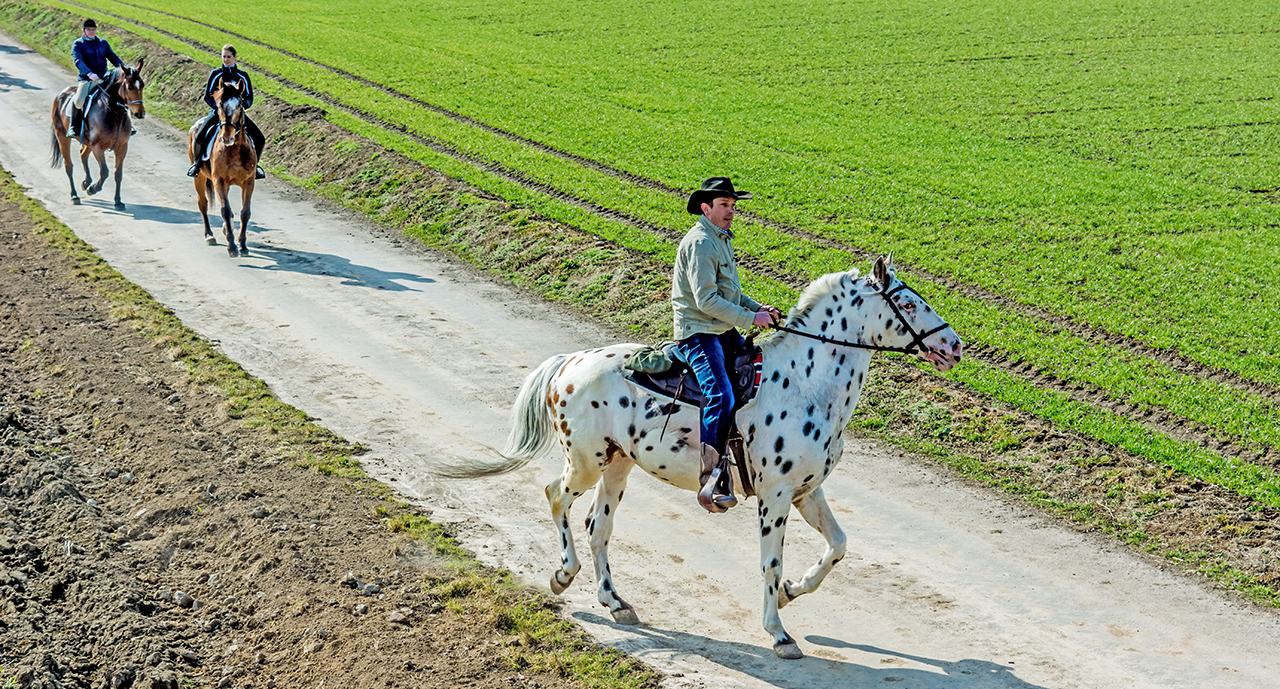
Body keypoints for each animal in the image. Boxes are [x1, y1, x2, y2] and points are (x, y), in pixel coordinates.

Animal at [50, 60, 147, 207]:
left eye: (142, 85)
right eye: (129, 87)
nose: (139, 113)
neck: (114, 112)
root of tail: (61, 94)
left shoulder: (122, 147)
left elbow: (118, 174)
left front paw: (118, 201)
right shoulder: (98, 148)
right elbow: (104, 172)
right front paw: (93, 189)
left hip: (87, 142)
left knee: (83, 154)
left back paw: (86, 182)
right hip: (62, 138)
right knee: (69, 166)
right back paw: (75, 195)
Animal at [186, 74, 256, 256]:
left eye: (239, 105)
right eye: (218, 105)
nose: (227, 137)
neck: (234, 149)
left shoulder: (249, 182)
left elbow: (245, 213)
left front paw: (243, 246)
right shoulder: (219, 180)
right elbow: (225, 211)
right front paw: (232, 247)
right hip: (199, 177)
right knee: (203, 204)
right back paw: (209, 235)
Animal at [455, 254, 962, 655]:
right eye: (908, 303)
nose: (955, 346)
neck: (807, 384)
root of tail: (569, 363)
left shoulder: (806, 491)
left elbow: (837, 545)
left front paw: (791, 592)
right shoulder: (775, 497)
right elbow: (770, 562)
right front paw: (779, 633)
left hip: (619, 466)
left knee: (598, 527)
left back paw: (615, 602)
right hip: (585, 462)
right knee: (556, 497)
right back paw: (563, 576)